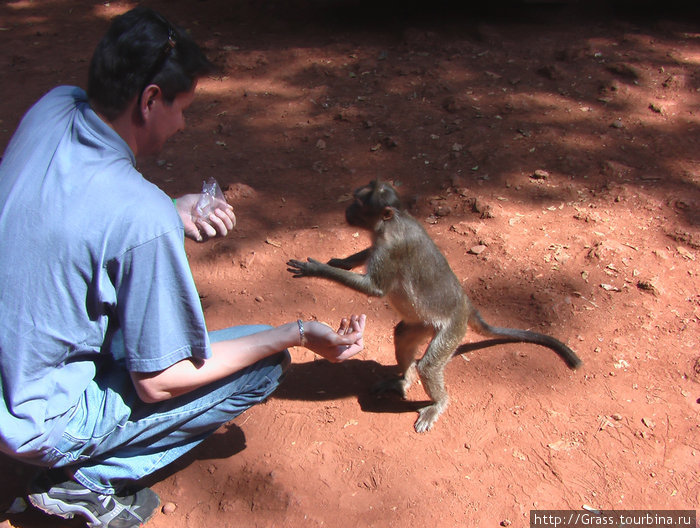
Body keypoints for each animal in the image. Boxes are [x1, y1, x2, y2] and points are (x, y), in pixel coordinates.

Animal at [284, 179, 580, 432]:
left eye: (359, 203)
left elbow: (375, 289)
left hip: (452, 329)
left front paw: (316, 269)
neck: (393, 222)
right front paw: (342, 262)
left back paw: (438, 402)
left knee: (428, 365)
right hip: (423, 324)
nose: (347, 209)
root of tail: (465, 305)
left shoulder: (391, 247)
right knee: (403, 336)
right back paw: (404, 379)